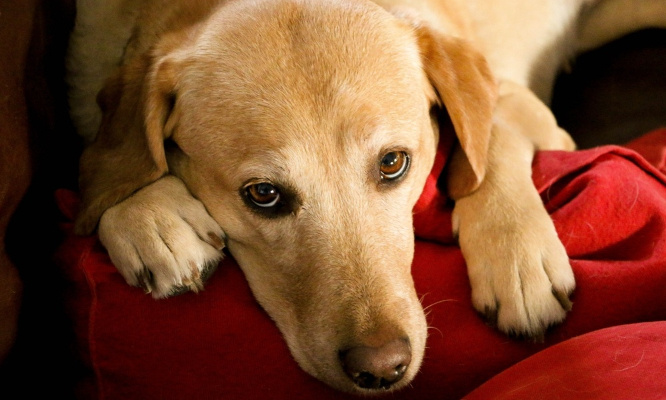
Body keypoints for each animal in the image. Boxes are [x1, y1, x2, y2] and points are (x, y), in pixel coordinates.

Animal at [66, 0, 664, 394]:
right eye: (263, 195)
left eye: (393, 163)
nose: (383, 368)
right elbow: (107, 168)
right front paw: (148, 218)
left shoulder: (520, 103)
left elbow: (487, 136)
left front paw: (518, 259)